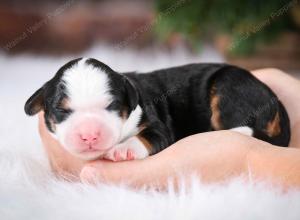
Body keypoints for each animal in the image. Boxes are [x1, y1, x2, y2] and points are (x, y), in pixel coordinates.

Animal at [24, 58, 290, 162]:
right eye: (61, 111)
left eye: (111, 106)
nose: (89, 135)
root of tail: (275, 101)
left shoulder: (157, 124)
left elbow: (149, 136)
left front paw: (124, 149)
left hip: (229, 88)